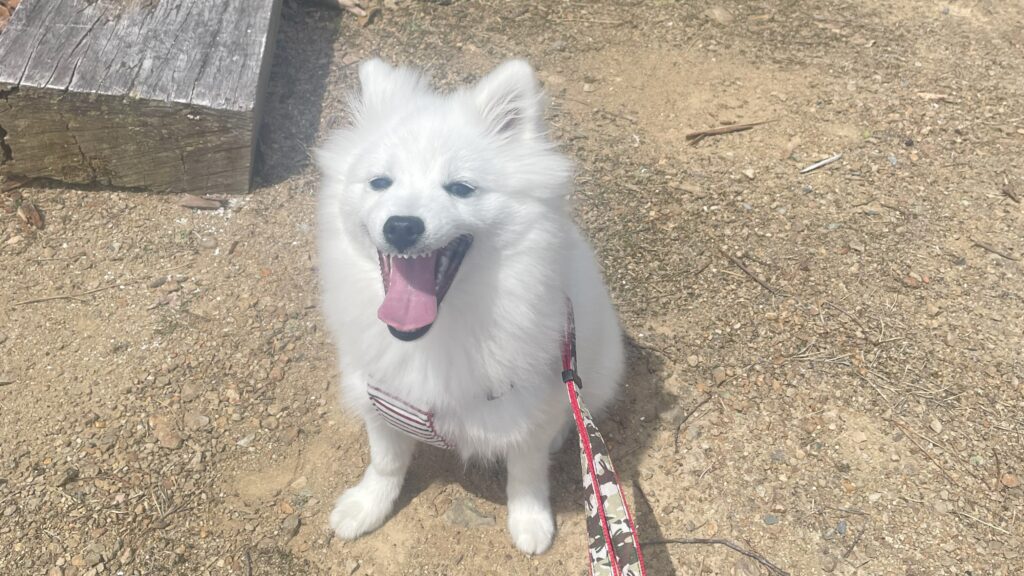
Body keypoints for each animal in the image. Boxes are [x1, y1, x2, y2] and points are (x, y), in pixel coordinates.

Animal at [315, 58, 626, 553]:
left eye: (460, 188)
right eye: (380, 183)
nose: (402, 226)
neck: (437, 333)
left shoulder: (530, 410)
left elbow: (526, 474)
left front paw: (531, 524)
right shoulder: (379, 396)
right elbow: (385, 461)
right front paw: (366, 507)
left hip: (597, 370)